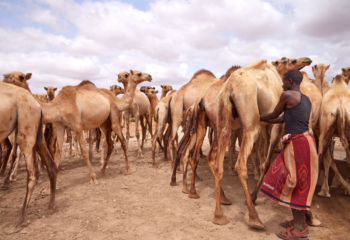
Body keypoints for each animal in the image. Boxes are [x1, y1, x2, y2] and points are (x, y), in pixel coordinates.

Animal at [0, 81, 56, 224]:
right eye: (48, 89)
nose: (50, 93)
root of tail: (37, 105)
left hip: (26, 129)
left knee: (31, 172)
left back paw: (20, 217)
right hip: (36, 134)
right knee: (50, 165)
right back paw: (50, 205)